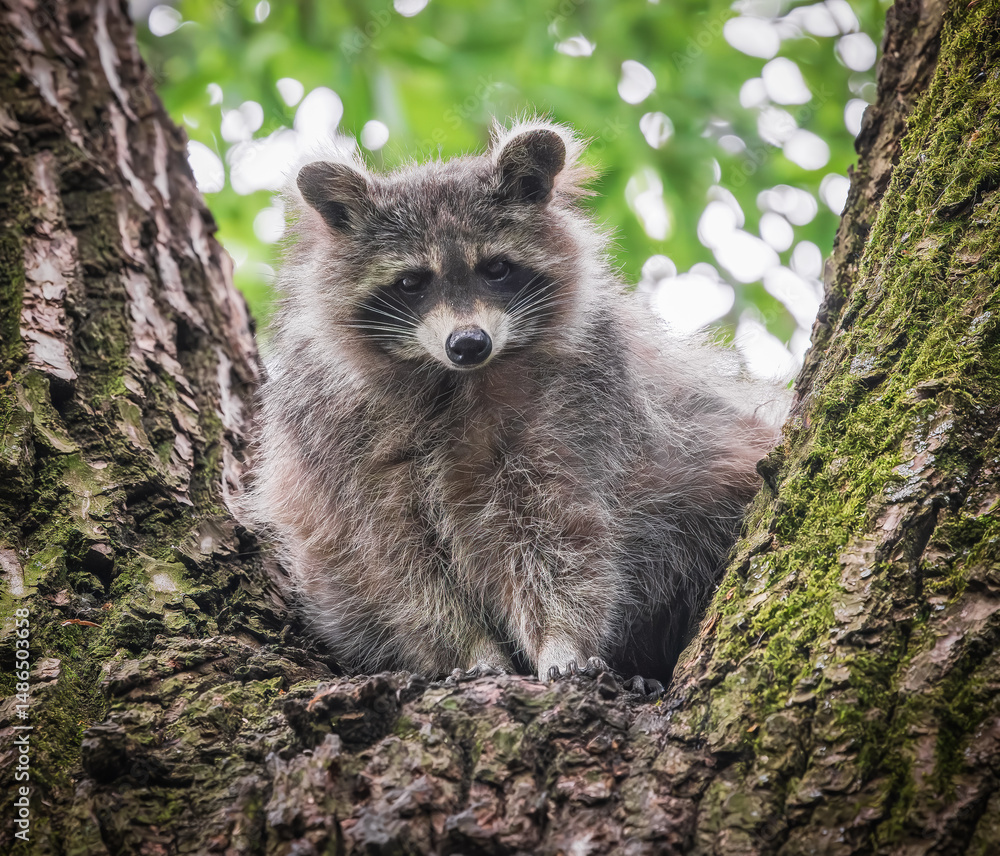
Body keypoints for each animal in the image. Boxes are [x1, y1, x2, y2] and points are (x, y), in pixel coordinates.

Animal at [243, 120, 786, 684]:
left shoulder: (578, 399)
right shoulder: (336, 440)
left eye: (496, 268)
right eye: (413, 281)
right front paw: (472, 651)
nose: (468, 343)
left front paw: (561, 641)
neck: (452, 379)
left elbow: (558, 533)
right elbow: (397, 567)